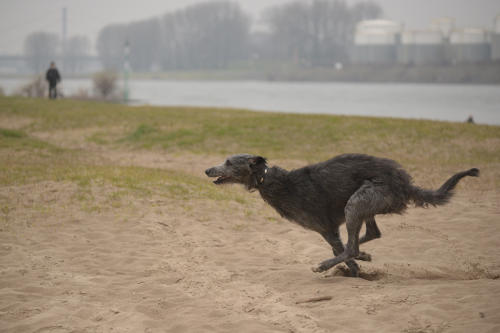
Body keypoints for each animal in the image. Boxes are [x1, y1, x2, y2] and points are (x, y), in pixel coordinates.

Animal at [205, 153, 478, 274]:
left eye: (229, 162)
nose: (208, 170)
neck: (267, 179)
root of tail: (405, 184)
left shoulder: (326, 228)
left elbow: (344, 252)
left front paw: (353, 271)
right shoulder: (329, 229)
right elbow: (344, 248)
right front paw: (356, 266)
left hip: (358, 201)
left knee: (353, 245)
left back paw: (327, 265)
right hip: (364, 202)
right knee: (371, 234)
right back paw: (362, 254)